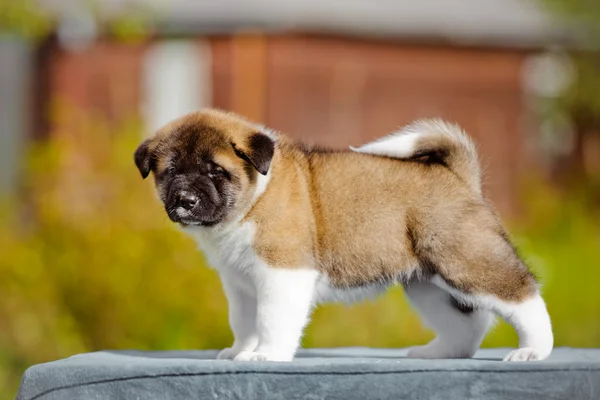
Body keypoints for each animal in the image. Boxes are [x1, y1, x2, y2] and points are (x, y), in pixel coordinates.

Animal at [135, 108, 552, 362]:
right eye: (170, 172)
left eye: (215, 171)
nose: (185, 201)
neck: (253, 199)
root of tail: (459, 176)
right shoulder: (240, 285)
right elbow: (244, 321)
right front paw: (240, 351)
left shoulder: (282, 274)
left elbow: (271, 319)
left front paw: (267, 354)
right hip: (427, 283)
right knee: (468, 323)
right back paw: (440, 353)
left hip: (466, 260)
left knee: (523, 296)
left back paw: (534, 350)